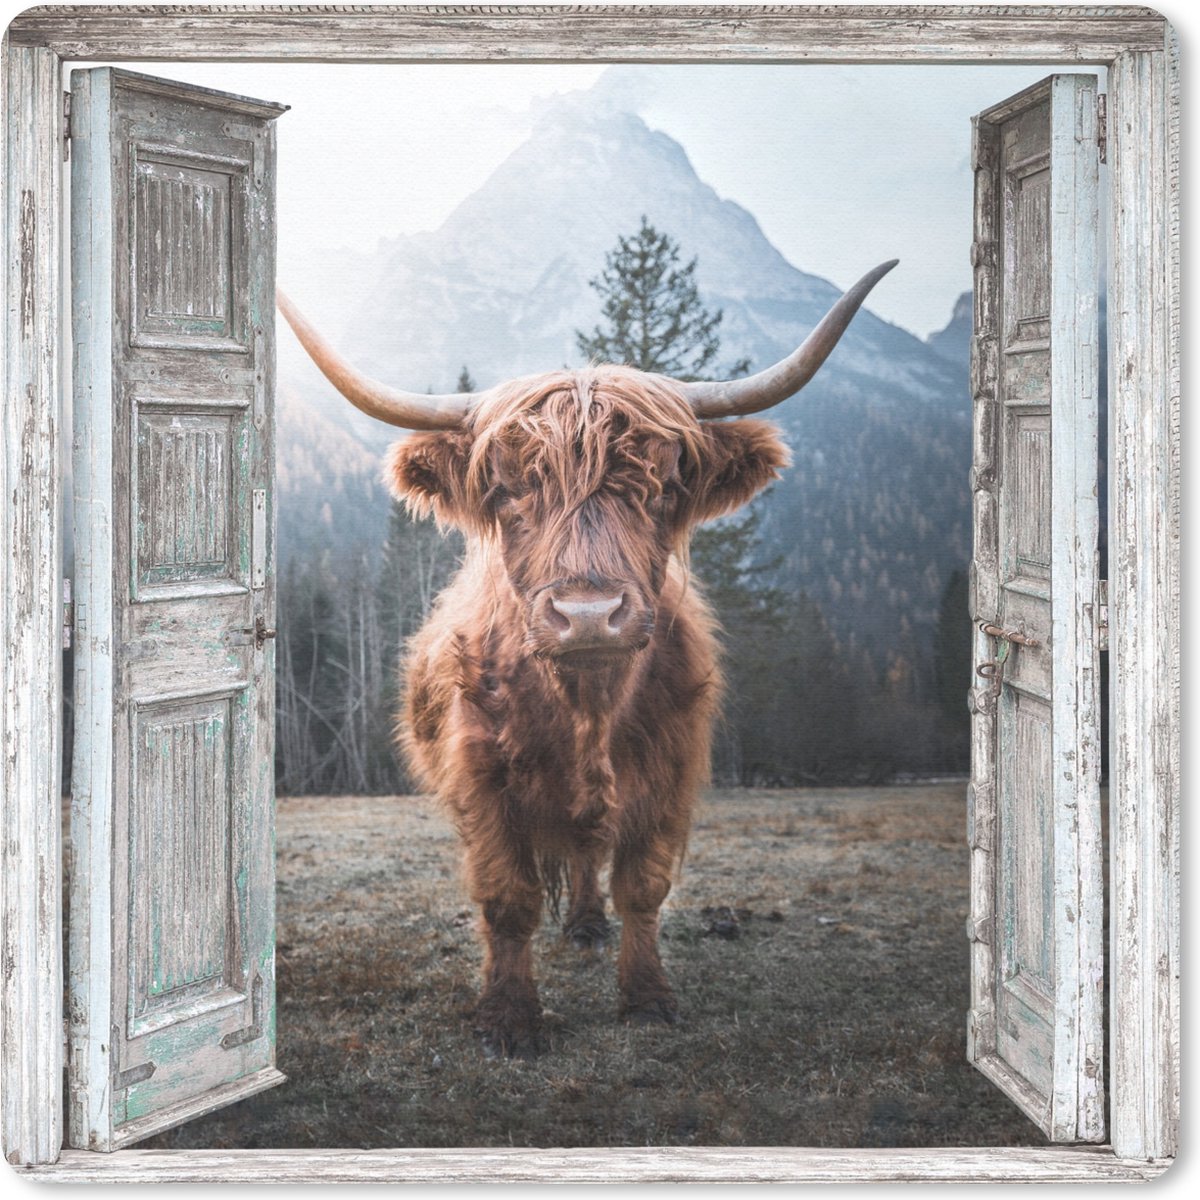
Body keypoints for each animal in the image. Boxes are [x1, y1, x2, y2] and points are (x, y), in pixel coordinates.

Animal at [277, 259, 895, 1057]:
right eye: (507, 490)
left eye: (664, 487)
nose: (589, 615)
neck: (586, 707)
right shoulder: (481, 779)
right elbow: (507, 898)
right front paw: (508, 1017)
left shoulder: (669, 771)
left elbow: (643, 886)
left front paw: (647, 997)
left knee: (586, 853)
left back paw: (587, 925)